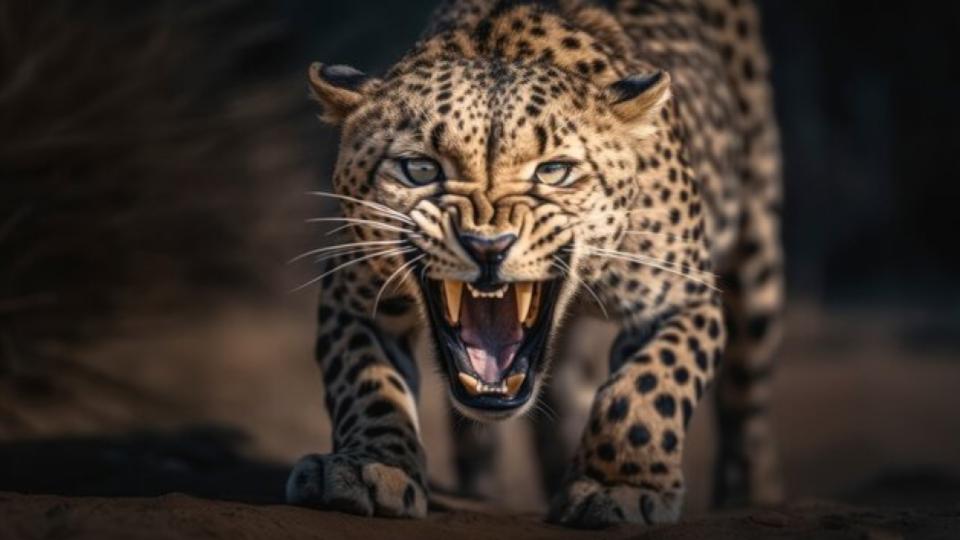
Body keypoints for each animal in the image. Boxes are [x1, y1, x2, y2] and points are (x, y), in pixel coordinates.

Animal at [286, 0, 785, 528]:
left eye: (554, 171)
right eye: (420, 169)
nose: (487, 247)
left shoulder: (682, 298)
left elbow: (647, 386)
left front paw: (621, 485)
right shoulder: (354, 293)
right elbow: (367, 382)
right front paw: (369, 465)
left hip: (758, 241)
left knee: (748, 399)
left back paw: (750, 495)